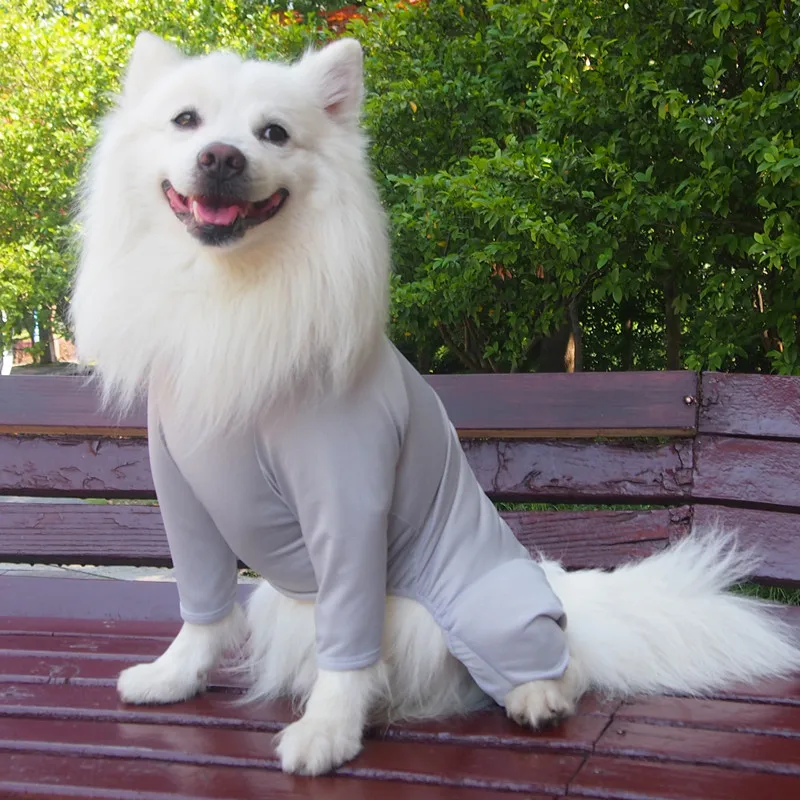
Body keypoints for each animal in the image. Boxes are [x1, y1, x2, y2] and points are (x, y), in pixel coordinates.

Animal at [70, 33, 800, 776]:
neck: (232, 293)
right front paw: (173, 677)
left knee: (563, 661)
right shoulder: (185, 500)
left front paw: (327, 731)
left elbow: (347, 644)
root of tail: (557, 589)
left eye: (273, 133)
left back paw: (538, 699)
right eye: (186, 121)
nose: (221, 156)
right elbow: (204, 609)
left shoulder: (349, 507)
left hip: (489, 607)